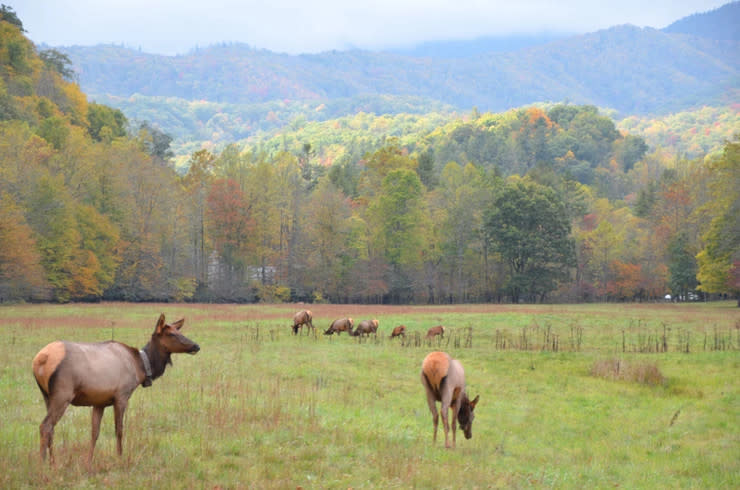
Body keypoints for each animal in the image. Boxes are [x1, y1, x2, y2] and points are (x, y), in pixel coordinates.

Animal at [31, 314, 199, 464]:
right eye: (171, 334)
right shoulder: (122, 395)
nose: (196, 346)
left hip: (47, 395)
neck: (141, 368)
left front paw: (89, 461)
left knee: (51, 428)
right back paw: (42, 463)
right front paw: (120, 457)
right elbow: (119, 430)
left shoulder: (99, 402)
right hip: (63, 393)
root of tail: (40, 359)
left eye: (179, 331)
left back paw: (53, 462)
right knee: (46, 425)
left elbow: (94, 433)